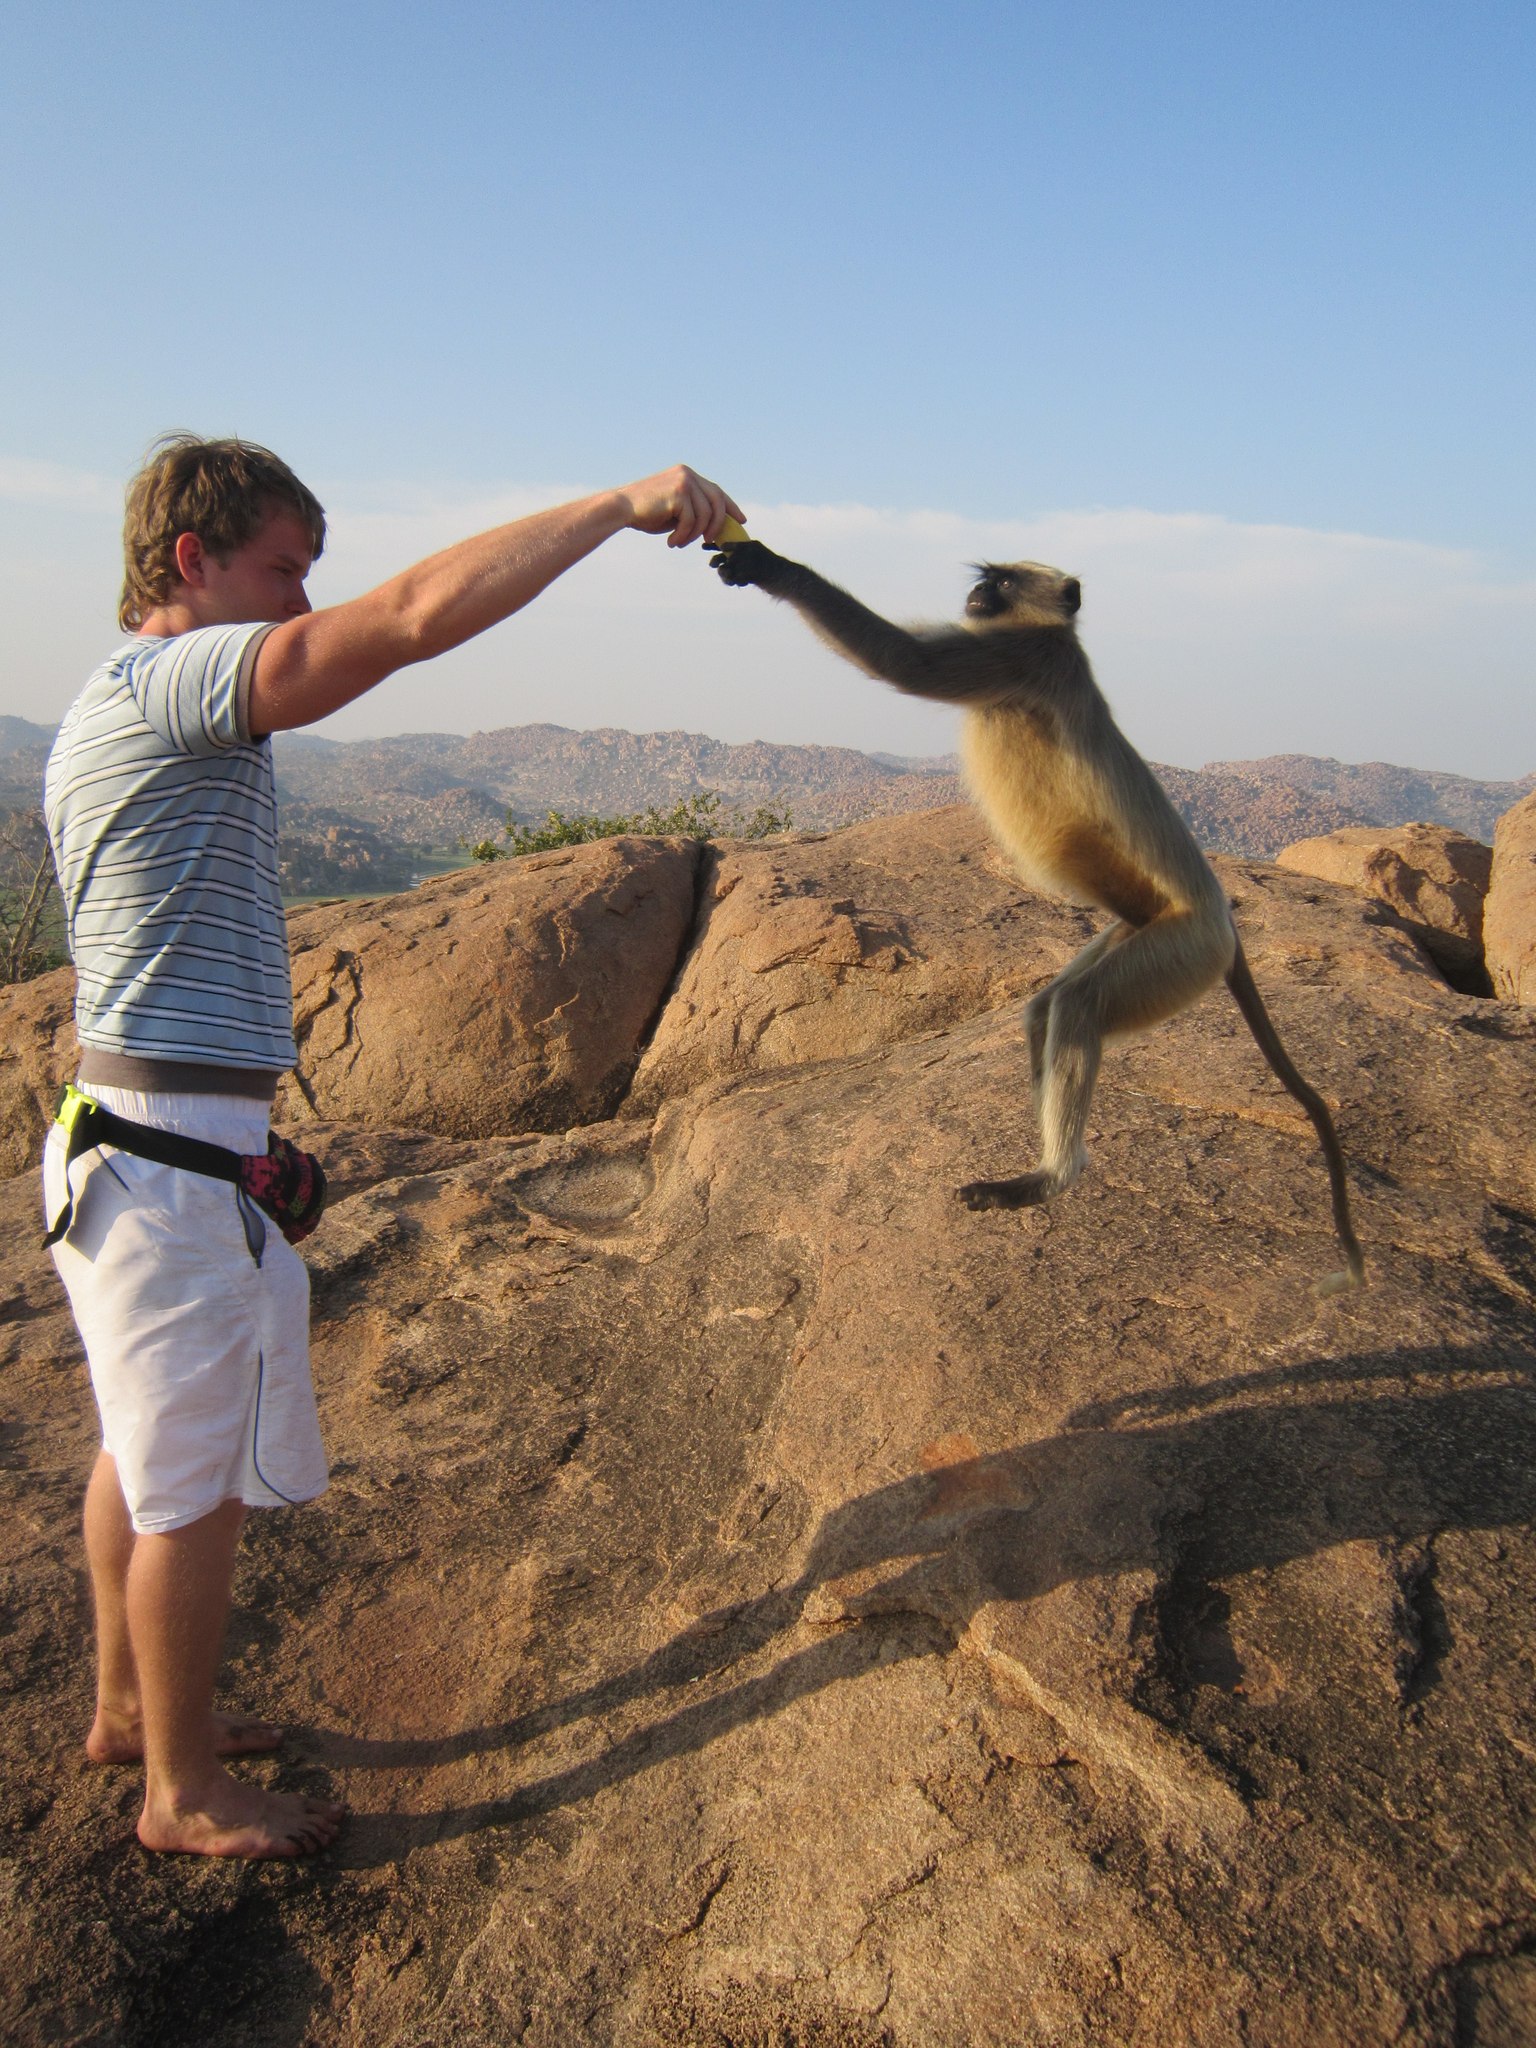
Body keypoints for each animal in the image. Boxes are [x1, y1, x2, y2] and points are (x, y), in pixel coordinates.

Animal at [711, 539, 1364, 1293]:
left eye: (999, 583)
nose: (976, 597)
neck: (1053, 635)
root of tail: (1225, 926)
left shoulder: (1026, 654)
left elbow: (906, 662)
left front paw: (768, 565)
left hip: (1183, 947)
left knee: (1079, 1005)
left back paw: (1052, 1175)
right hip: (1140, 929)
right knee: (1048, 1006)